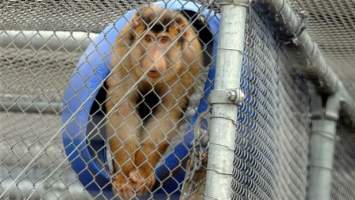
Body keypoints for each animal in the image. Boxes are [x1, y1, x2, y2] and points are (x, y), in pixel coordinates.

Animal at [105, 5, 203, 199]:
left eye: (164, 40)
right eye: (148, 39)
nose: (153, 59)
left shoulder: (188, 61)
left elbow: (167, 113)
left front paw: (143, 172)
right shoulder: (124, 54)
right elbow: (124, 109)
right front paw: (124, 175)